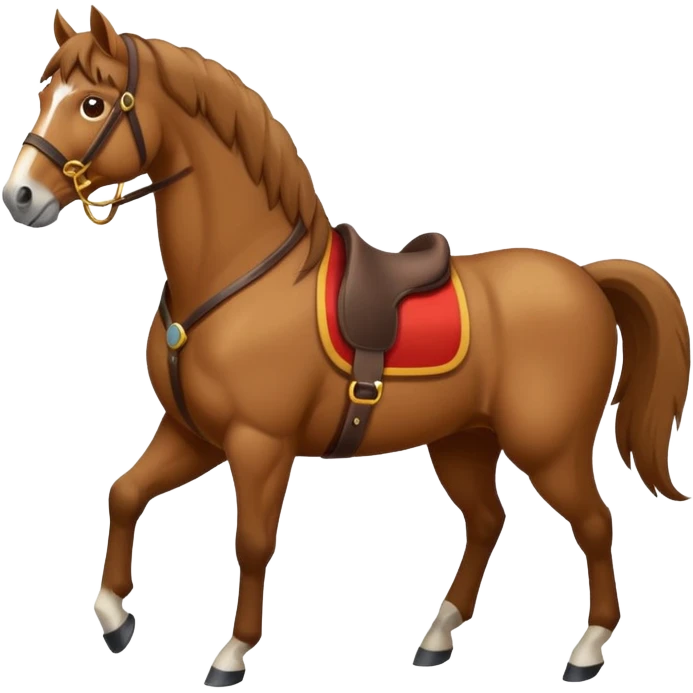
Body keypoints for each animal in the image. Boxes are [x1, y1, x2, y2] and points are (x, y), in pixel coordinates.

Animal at [3, 6, 690, 688]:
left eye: (92, 104)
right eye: (43, 94)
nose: (21, 196)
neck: (243, 274)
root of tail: (587, 278)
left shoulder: (259, 445)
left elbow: (251, 543)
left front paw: (231, 653)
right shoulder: (192, 433)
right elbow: (123, 494)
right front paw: (114, 618)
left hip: (549, 447)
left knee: (595, 524)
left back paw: (587, 649)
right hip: (464, 441)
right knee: (488, 521)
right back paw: (436, 638)